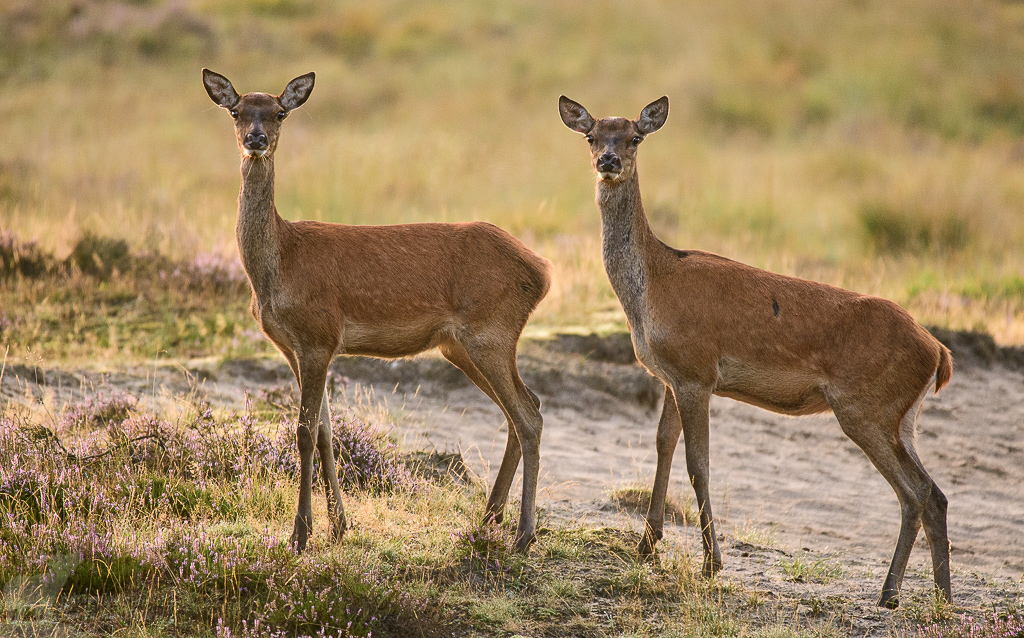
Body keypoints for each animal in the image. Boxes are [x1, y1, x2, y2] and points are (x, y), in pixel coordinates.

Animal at [202, 69, 551, 553]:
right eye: (236, 111)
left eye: (279, 112)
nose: (256, 139)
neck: (278, 265)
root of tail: (543, 272)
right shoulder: (295, 348)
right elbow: (327, 431)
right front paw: (339, 525)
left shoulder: (319, 336)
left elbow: (304, 432)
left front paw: (300, 533)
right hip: (462, 346)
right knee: (521, 409)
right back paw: (489, 519)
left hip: (491, 332)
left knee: (528, 415)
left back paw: (522, 534)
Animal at [559, 95, 953, 608]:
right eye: (591, 136)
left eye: (635, 138)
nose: (608, 161)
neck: (651, 289)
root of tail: (939, 353)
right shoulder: (669, 375)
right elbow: (663, 445)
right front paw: (647, 546)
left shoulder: (697, 371)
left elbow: (698, 465)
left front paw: (711, 564)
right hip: (903, 417)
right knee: (934, 493)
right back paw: (940, 598)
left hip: (866, 407)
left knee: (915, 491)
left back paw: (889, 593)